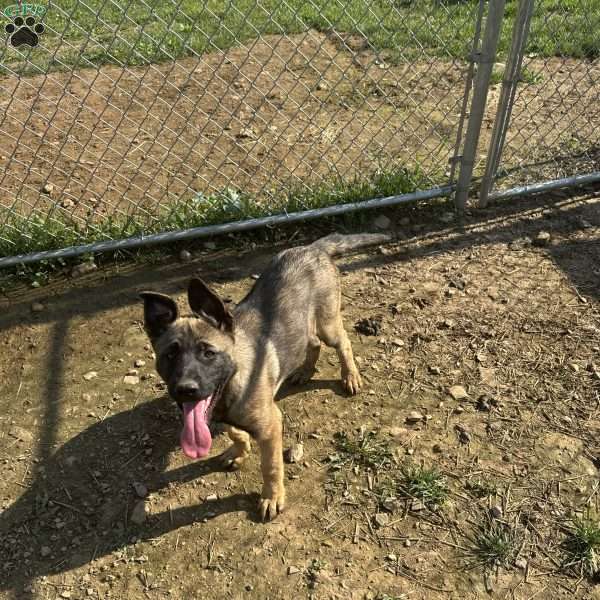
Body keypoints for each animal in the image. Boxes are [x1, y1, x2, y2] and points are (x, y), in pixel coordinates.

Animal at [143, 232, 392, 524]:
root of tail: (313, 247)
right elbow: (235, 432)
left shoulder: (271, 425)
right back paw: (304, 371)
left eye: (208, 353)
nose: (185, 390)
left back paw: (350, 376)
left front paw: (272, 497)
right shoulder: (221, 413)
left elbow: (271, 466)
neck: (233, 381)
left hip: (327, 323)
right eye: (170, 355)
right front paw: (238, 451)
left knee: (343, 343)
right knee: (312, 343)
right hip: (303, 325)